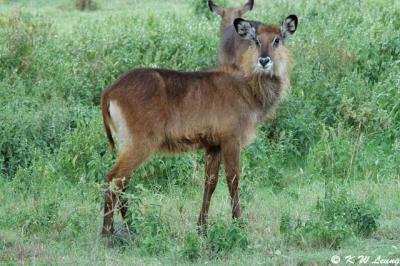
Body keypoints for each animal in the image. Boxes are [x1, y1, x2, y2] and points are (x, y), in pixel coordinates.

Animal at [101, 15, 298, 235]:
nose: (264, 60)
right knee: (113, 179)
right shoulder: (231, 140)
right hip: (140, 143)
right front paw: (239, 225)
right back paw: (108, 233)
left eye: (277, 40)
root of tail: (110, 91)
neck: (247, 87)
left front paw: (202, 228)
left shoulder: (213, 145)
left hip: (126, 143)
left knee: (122, 182)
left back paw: (131, 227)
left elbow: (209, 182)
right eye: (256, 40)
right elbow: (233, 179)